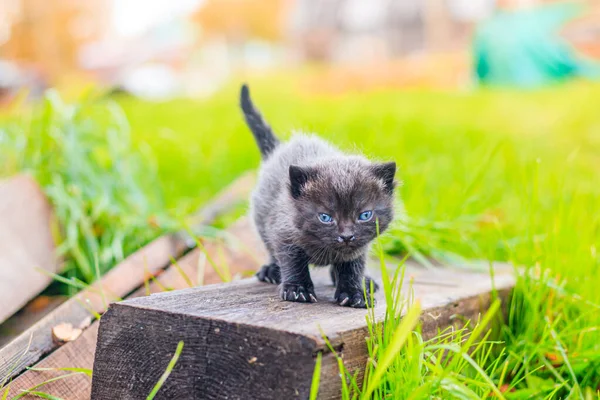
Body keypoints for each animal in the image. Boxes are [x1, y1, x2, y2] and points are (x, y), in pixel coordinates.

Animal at [241, 84, 396, 310]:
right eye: (325, 217)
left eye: (364, 215)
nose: (347, 236)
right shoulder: (283, 231)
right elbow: (292, 261)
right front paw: (298, 289)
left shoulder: (359, 247)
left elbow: (352, 266)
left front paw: (355, 292)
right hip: (262, 217)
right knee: (271, 248)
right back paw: (271, 270)